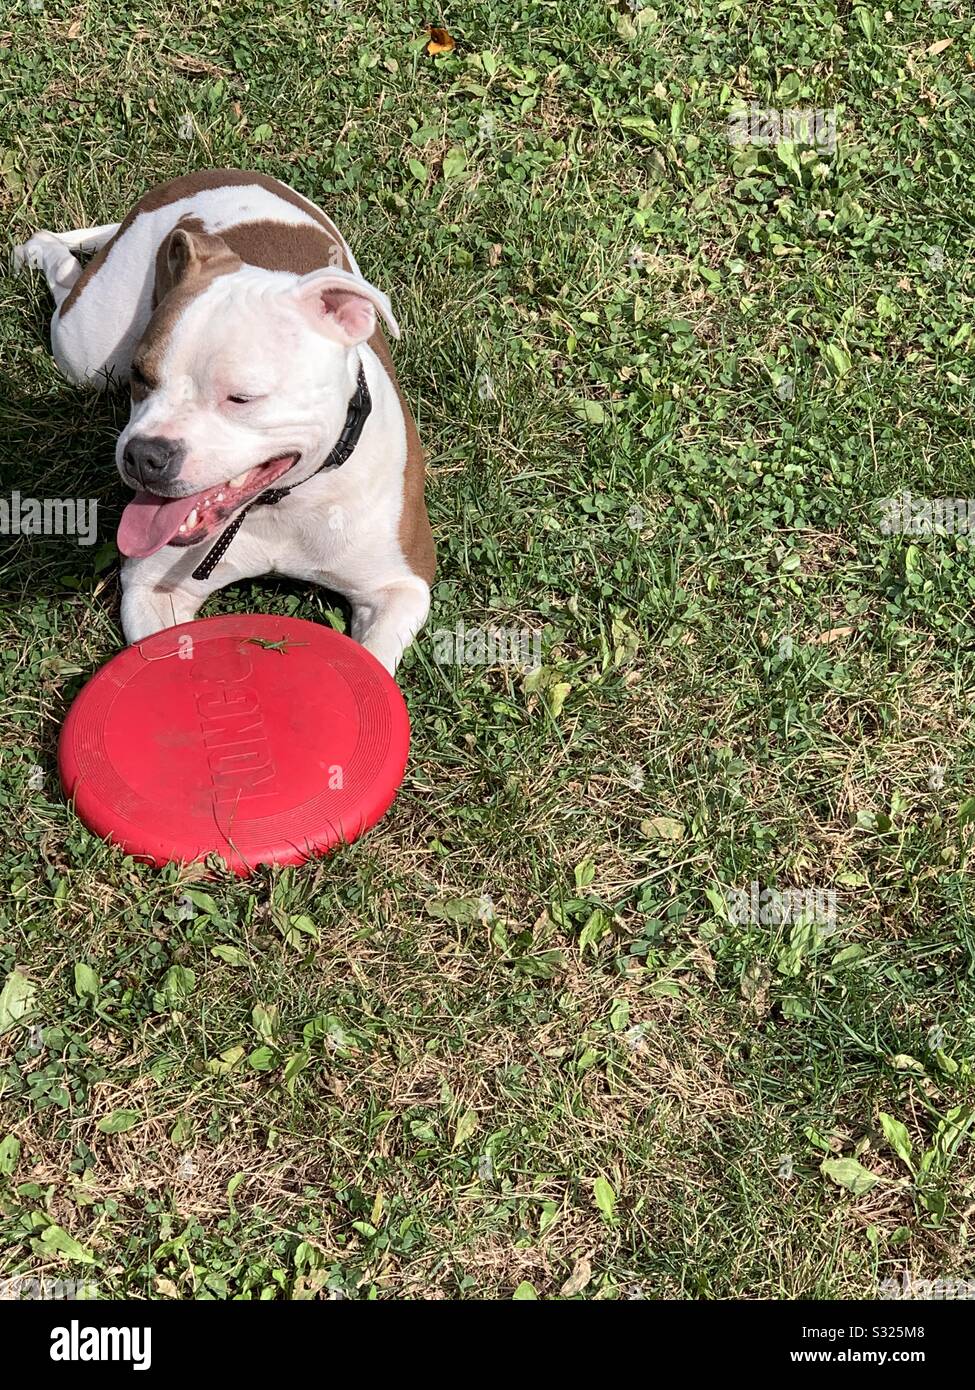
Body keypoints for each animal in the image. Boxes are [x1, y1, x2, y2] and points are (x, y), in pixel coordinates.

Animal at [14, 165, 433, 675]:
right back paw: (42, 250)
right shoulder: (152, 589)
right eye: (140, 377)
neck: (279, 504)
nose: (144, 455)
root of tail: (204, 176)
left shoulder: (400, 586)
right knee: (66, 285)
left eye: (241, 398)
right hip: (87, 352)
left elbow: (373, 660)